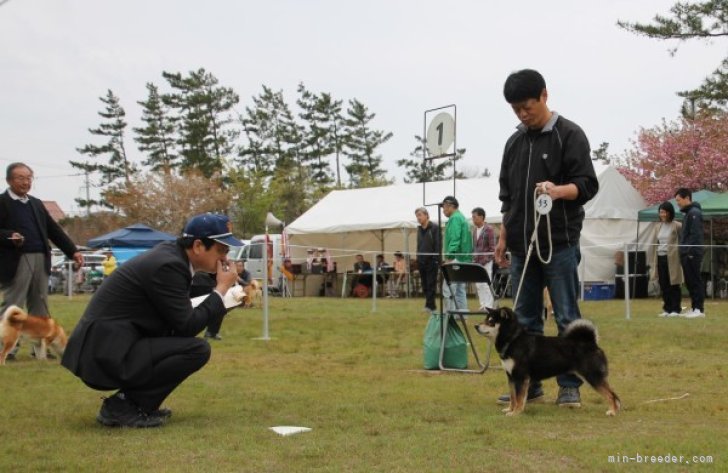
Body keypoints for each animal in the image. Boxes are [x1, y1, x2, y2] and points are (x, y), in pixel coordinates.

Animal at [478, 304, 620, 414]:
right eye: (485, 319)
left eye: (491, 321)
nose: (476, 326)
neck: (513, 340)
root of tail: (591, 342)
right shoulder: (511, 377)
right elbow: (513, 397)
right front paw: (510, 409)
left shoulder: (520, 376)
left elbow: (518, 398)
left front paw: (516, 412)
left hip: (593, 376)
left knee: (611, 395)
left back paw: (612, 411)